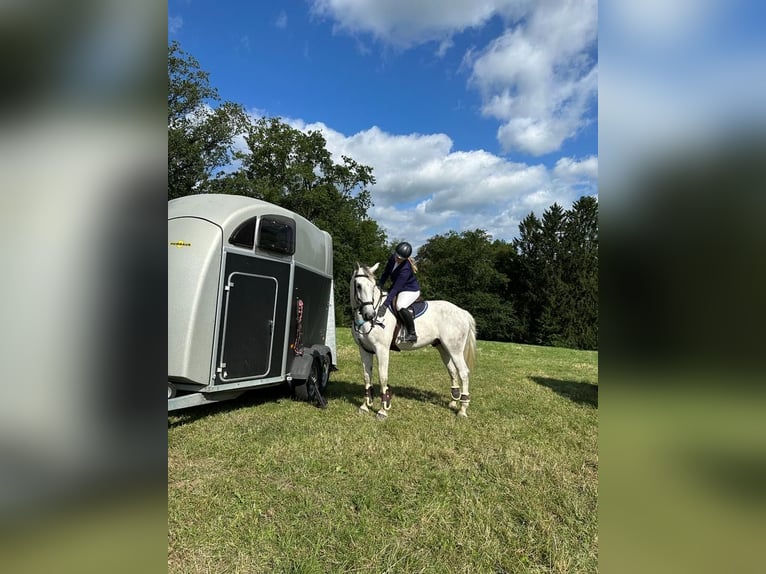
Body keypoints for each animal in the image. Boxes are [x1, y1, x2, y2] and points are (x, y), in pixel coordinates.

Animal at [350, 262, 477, 419]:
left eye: (373, 286)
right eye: (358, 286)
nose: (369, 315)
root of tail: (462, 312)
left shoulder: (382, 350)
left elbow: (383, 377)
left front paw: (383, 410)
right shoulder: (364, 350)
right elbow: (367, 377)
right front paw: (365, 406)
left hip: (455, 350)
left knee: (463, 372)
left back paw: (462, 410)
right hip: (443, 348)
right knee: (452, 371)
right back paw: (453, 402)